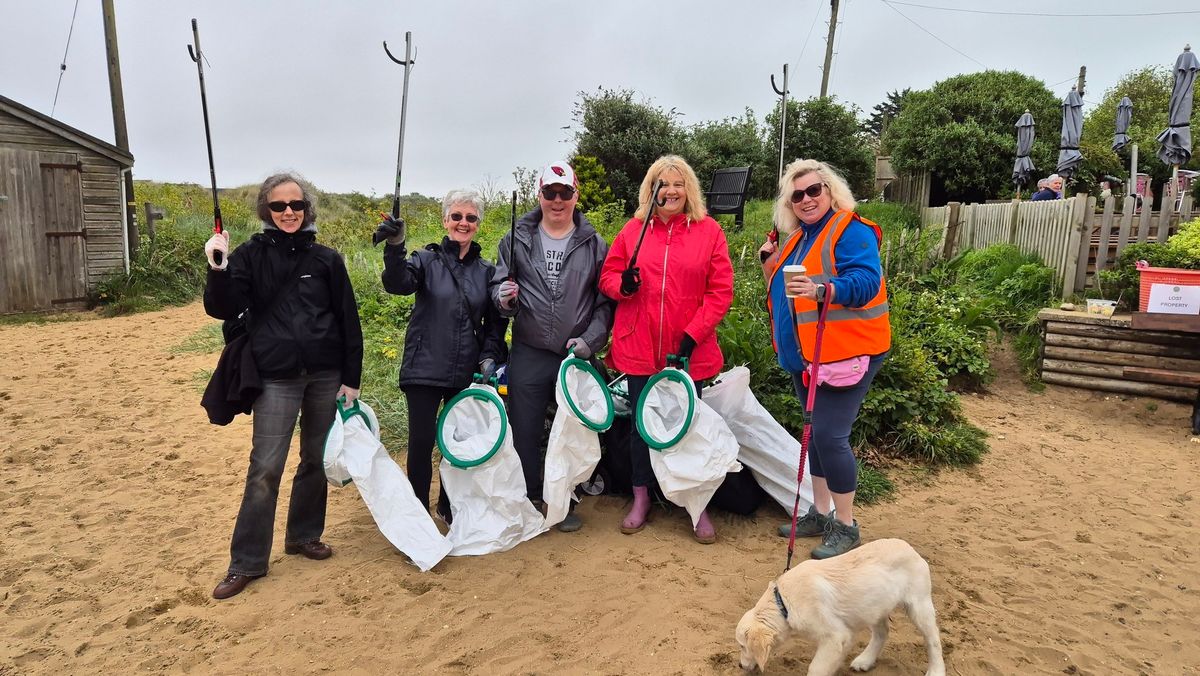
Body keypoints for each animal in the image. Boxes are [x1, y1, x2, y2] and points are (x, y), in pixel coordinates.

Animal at [729, 540, 945, 676]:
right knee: (882, 632)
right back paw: (865, 661)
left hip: (919, 604)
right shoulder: (841, 638)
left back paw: (936, 671)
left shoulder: (834, 637)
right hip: (873, 607)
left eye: (742, 646)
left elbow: (816, 669)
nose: (739, 664)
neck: (785, 603)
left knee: (933, 639)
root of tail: (910, 548)